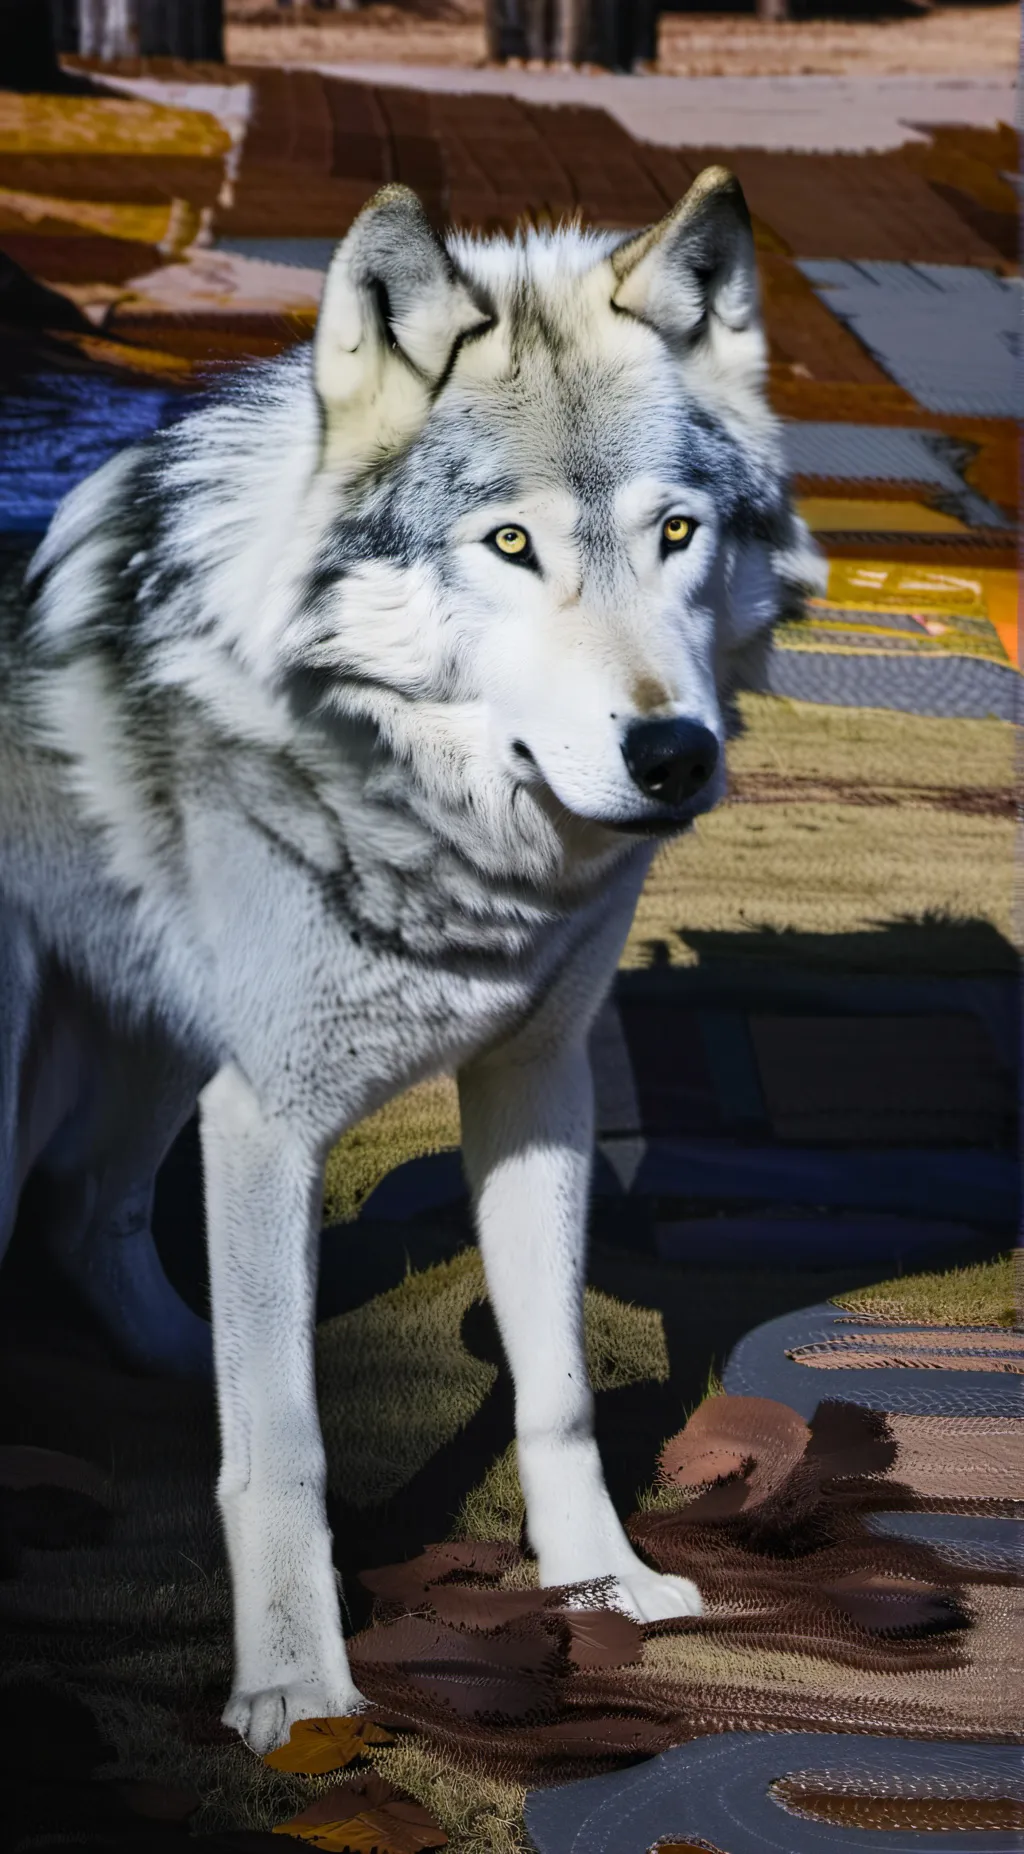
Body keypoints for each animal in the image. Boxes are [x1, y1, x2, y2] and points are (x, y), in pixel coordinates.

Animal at [0, 170, 820, 1753]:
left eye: (677, 533)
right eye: (509, 546)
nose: (673, 756)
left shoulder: (536, 1088)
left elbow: (556, 1392)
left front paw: (602, 1589)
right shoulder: (271, 1121)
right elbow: (283, 1445)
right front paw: (298, 1687)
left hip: (162, 1037)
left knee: (84, 1202)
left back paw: (172, 1353)